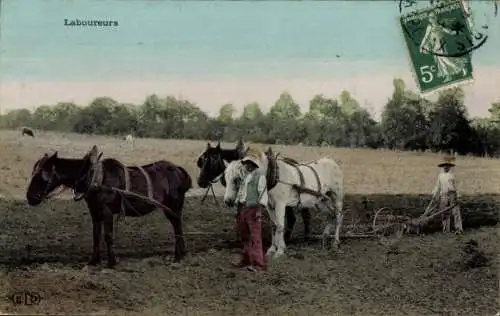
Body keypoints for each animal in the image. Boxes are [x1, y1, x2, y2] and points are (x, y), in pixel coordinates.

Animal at [26, 146, 192, 266]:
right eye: (33, 172)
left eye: (43, 175)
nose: (30, 197)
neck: (94, 177)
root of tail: (178, 168)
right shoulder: (94, 212)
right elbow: (96, 236)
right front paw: (94, 261)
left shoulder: (106, 212)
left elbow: (108, 236)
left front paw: (112, 262)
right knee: (177, 226)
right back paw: (180, 254)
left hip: (174, 207)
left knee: (178, 227)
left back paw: (179, 256)